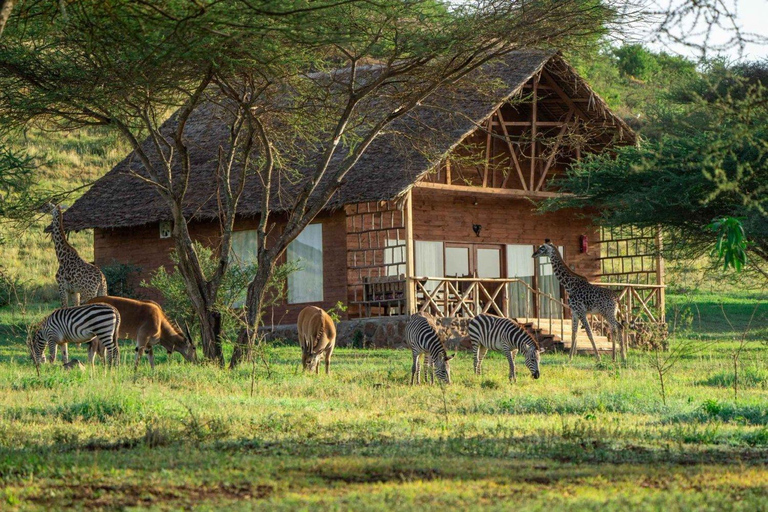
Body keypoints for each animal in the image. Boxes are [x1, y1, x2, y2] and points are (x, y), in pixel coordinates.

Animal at [47, 205, 108, 364]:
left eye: (50, 209)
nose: (46, 210)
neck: (61, 256)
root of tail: (101, 279)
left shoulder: (62, 286)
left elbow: (64, 307)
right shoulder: (75, 291)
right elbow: (74, 309)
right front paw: (78, 343)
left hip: (90, 293)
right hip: (103, 292)